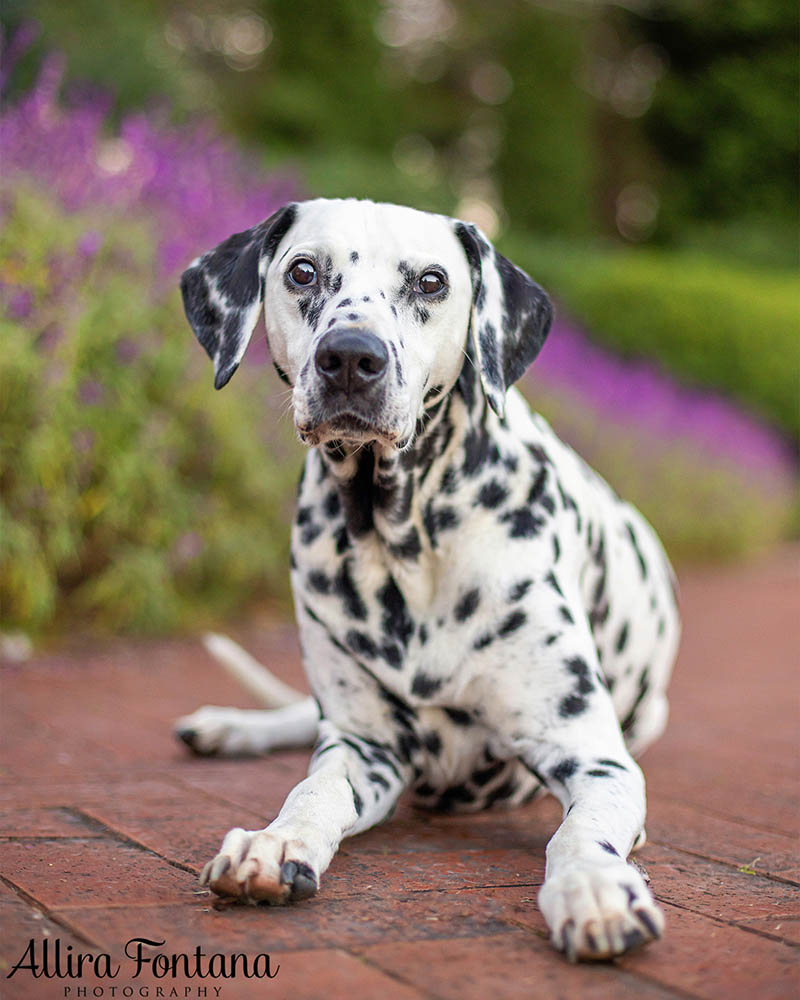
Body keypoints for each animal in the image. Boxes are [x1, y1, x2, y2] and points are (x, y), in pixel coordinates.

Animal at [173, 199, 676, 964]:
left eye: (432, 281)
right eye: (302, 272)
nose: (351, 356)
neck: (405, 541)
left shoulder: (594, 756)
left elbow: (580, 834)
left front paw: (592, 889)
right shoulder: (363, 747)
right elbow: (312, 791)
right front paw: (274, 844)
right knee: (300, 717)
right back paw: (229, 726)